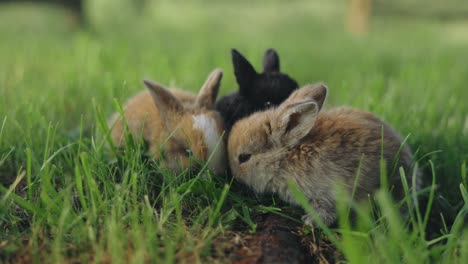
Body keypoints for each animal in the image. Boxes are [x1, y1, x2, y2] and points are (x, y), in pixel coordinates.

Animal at [227, 83, 420, 226]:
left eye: (244, 157)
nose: (233, 175)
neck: (287, 156)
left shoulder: (329, 191)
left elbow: (327, 211)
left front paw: (310, 221)